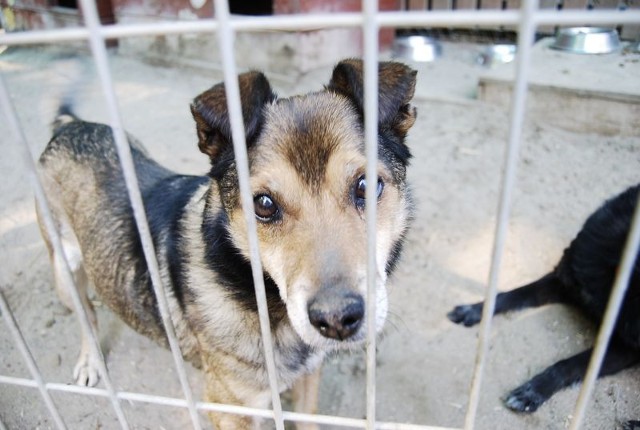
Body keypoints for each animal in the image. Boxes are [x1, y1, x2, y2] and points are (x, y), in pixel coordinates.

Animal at [37, 58, 418, 428]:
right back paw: (90, 360)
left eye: (366, 185)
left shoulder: (309, 378)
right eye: (263, 204)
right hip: (62, 272)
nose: (336, 319)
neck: (261, 299)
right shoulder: (228, 409)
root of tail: (70, 126)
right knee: (86, 316)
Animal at [448, 184, 636, 420]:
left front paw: (533, 391)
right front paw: (474, 310)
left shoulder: (626, 347)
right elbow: (510, 295)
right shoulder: (564, 280)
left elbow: (572, 363)